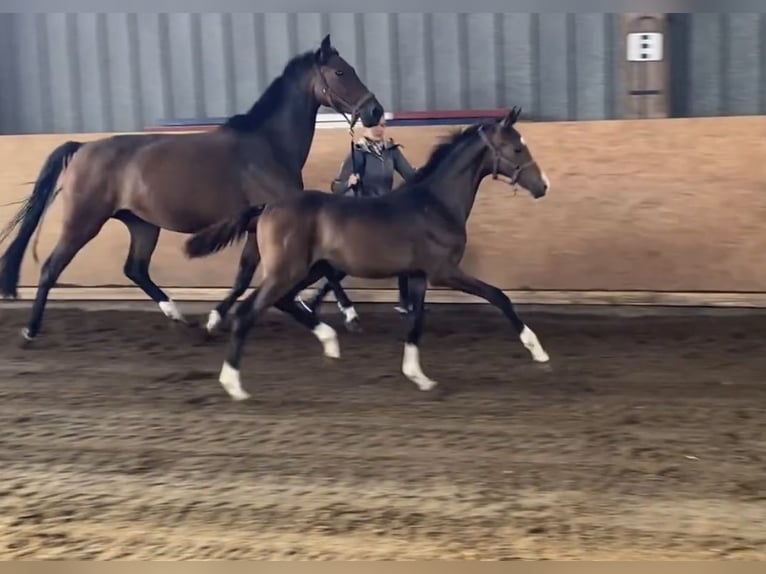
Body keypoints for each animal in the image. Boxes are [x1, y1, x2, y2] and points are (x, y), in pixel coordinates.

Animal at [0, 34, 382, 342]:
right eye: (340, 72)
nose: (375, 111)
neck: (268, 146)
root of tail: (81, 148)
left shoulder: (255, 227)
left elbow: (245, 275)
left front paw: (215, 319)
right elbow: (319, 269)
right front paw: (349, 315)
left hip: (142, 224)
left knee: (135, 268)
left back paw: (177, 315)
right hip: (83, 221)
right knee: (51, 268)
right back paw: (30, 331)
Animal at [183, 106, 551, 401]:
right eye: (517, 148)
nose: (543, 186)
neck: (435, 204)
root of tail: (266, 207)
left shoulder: (418, 275)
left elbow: (416, 322)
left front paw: (418, 377)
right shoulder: (444, 271)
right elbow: (498, 295)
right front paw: (537, 349)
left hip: (307, 269)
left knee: (284, 301)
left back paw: (329, 341)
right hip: (288, 271)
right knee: (249, 312)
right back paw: (234, 385)